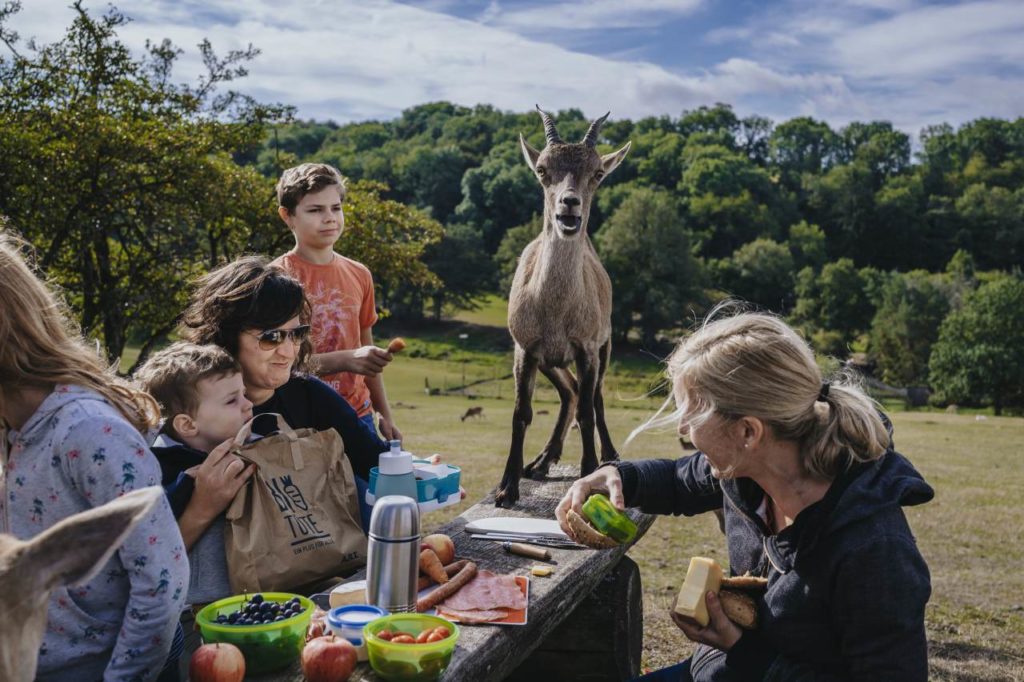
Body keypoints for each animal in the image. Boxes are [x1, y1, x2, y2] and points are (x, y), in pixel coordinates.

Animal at [497, 106, 630, 503]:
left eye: (597, 173)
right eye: (542, 170)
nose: (569, 204)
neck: (555, 310)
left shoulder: (586, 347)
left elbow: (588, 412)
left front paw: (589, 472)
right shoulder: (525, 347)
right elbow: (521, 413)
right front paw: (507, 486)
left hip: (605, 345)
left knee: (594, 397)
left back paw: (608, 454)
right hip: (551, 361)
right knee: (569, 390)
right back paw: (541, 461)